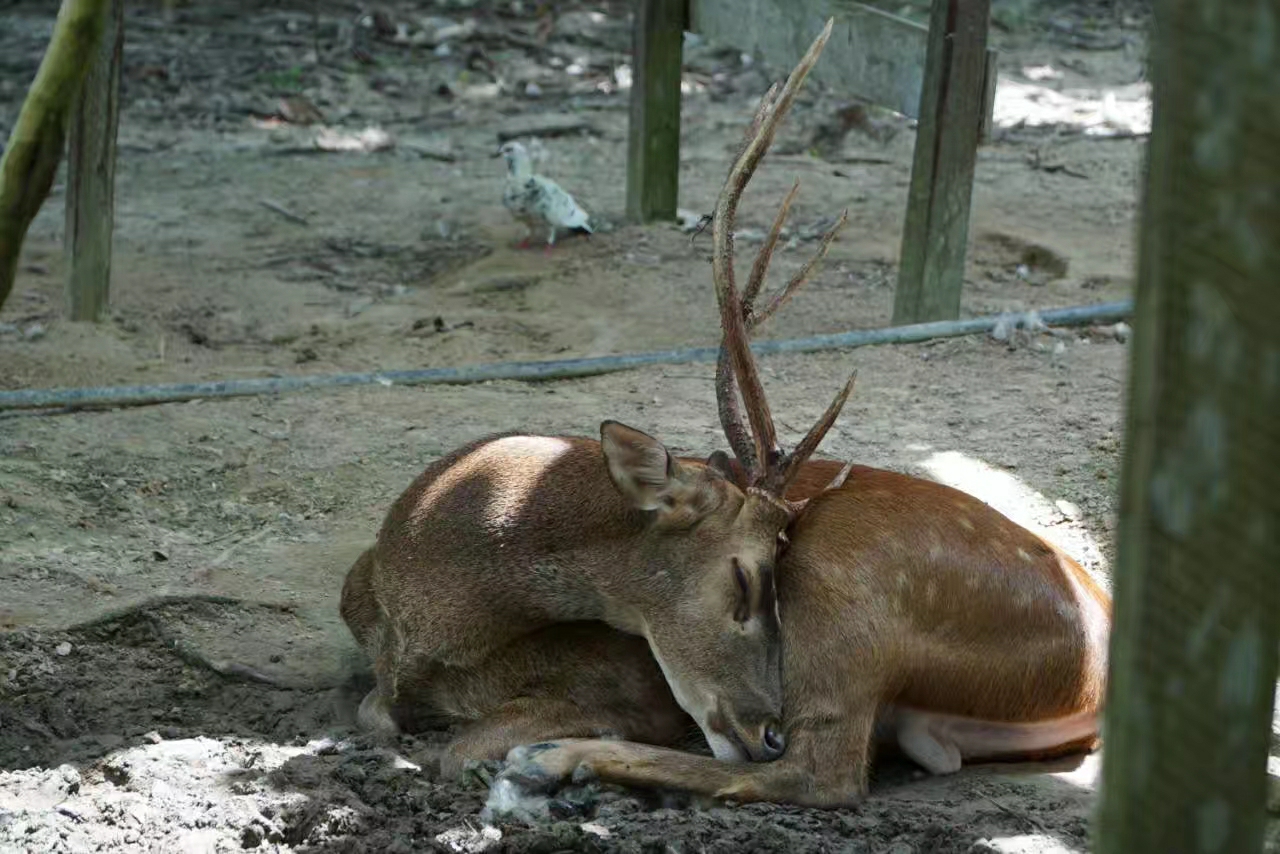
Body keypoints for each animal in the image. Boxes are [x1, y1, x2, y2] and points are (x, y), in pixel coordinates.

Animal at [494, 20, 1116, 809]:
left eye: (759, 579)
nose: (764, 730)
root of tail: (1094, 682)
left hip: (852, 600)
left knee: (823, 772)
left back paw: (546, 756)